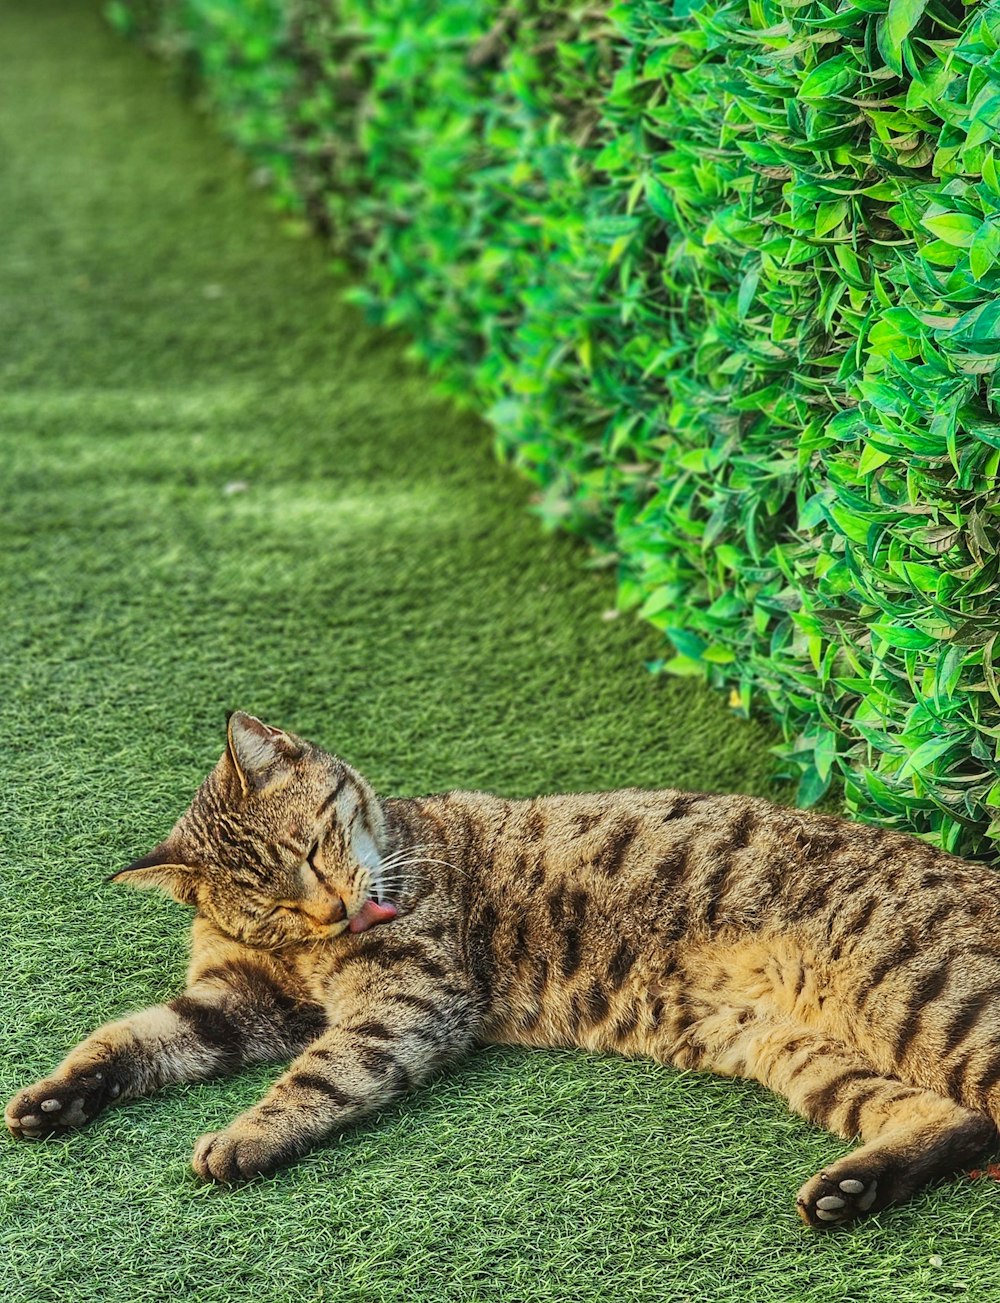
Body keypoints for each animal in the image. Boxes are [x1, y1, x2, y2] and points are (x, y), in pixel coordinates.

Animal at [7, 714, 1000, 1219]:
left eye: (316, 849)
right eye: (272, 902)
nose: (335, 909)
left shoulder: (411, 997)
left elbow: (321, 1075)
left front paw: (246, 1134)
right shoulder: (240, 1001)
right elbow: (135, 1035)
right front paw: (55, 1096)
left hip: (932, 1004)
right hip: (804, 1050)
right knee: (953, 1122)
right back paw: (852, 1187)